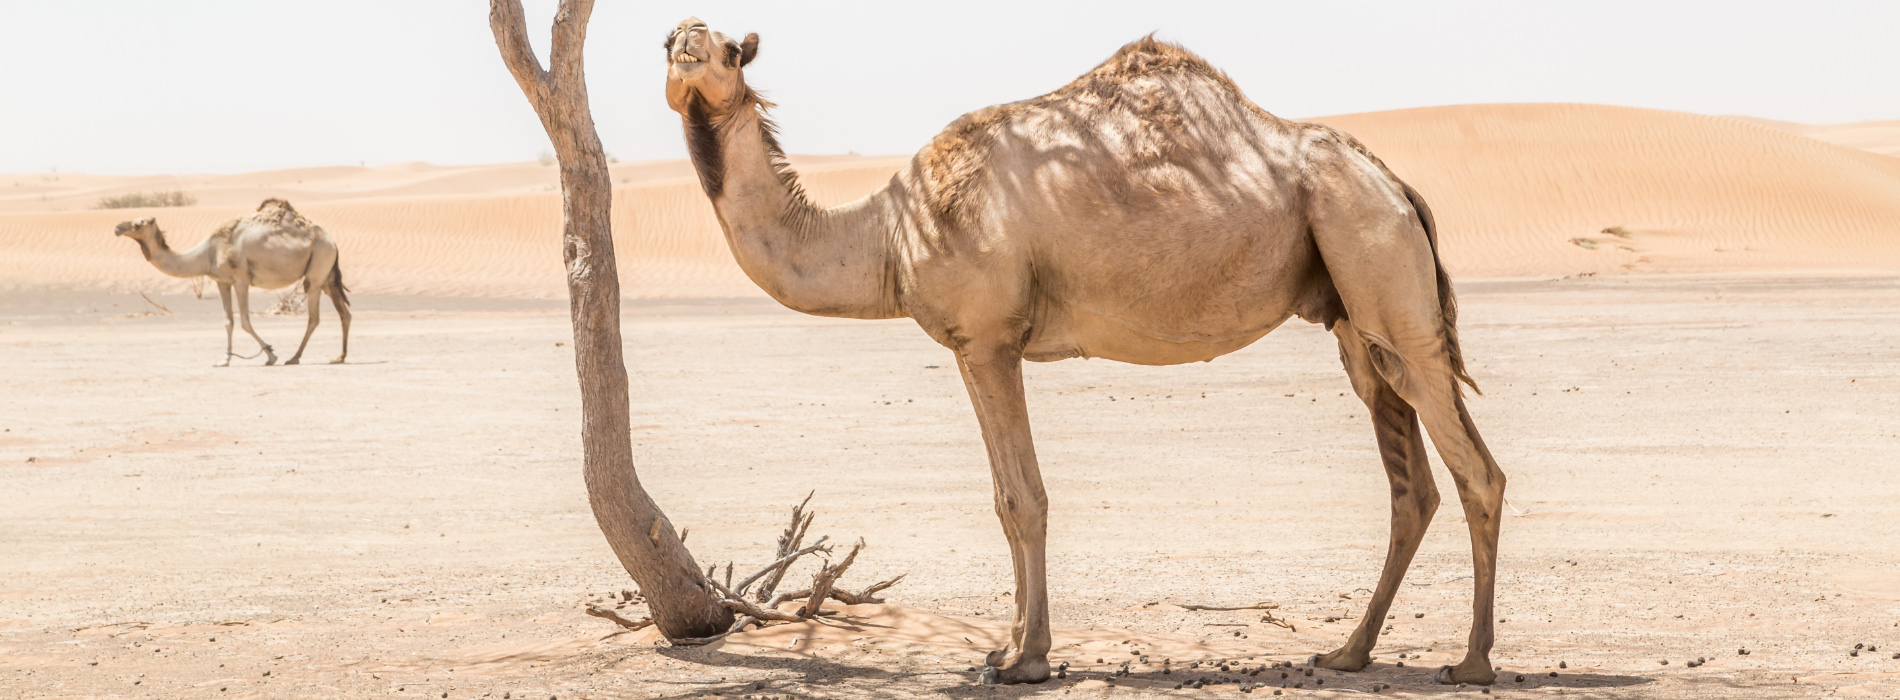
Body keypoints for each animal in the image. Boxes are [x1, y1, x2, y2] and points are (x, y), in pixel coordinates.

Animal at [114, 198, 351, 366]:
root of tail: (333, 242)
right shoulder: (222, 281)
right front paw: (224, 360)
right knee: (344, 313)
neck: (208, 252)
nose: (117, 227)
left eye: (138, 224)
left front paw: (270, 355)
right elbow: (228, 321)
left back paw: (294, 357)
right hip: (328, 277)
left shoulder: (240, 280)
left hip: (317, 269)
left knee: (314, 317)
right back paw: (339, 357)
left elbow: (245, 320)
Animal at [662, 19, 1507, 686]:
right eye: (670, 43)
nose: (686, 46)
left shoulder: (991, 339)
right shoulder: (972, 345)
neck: (890, 233)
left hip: (1378, 260)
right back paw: (1349, 653)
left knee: (1477, 470)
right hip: (1354, 310)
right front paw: (1003, 647)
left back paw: (1471, 661)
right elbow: (1003, 500)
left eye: (729, 51)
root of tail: (1397, 185)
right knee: (1410, 481)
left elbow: (1022, 499)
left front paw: (1025, 661)